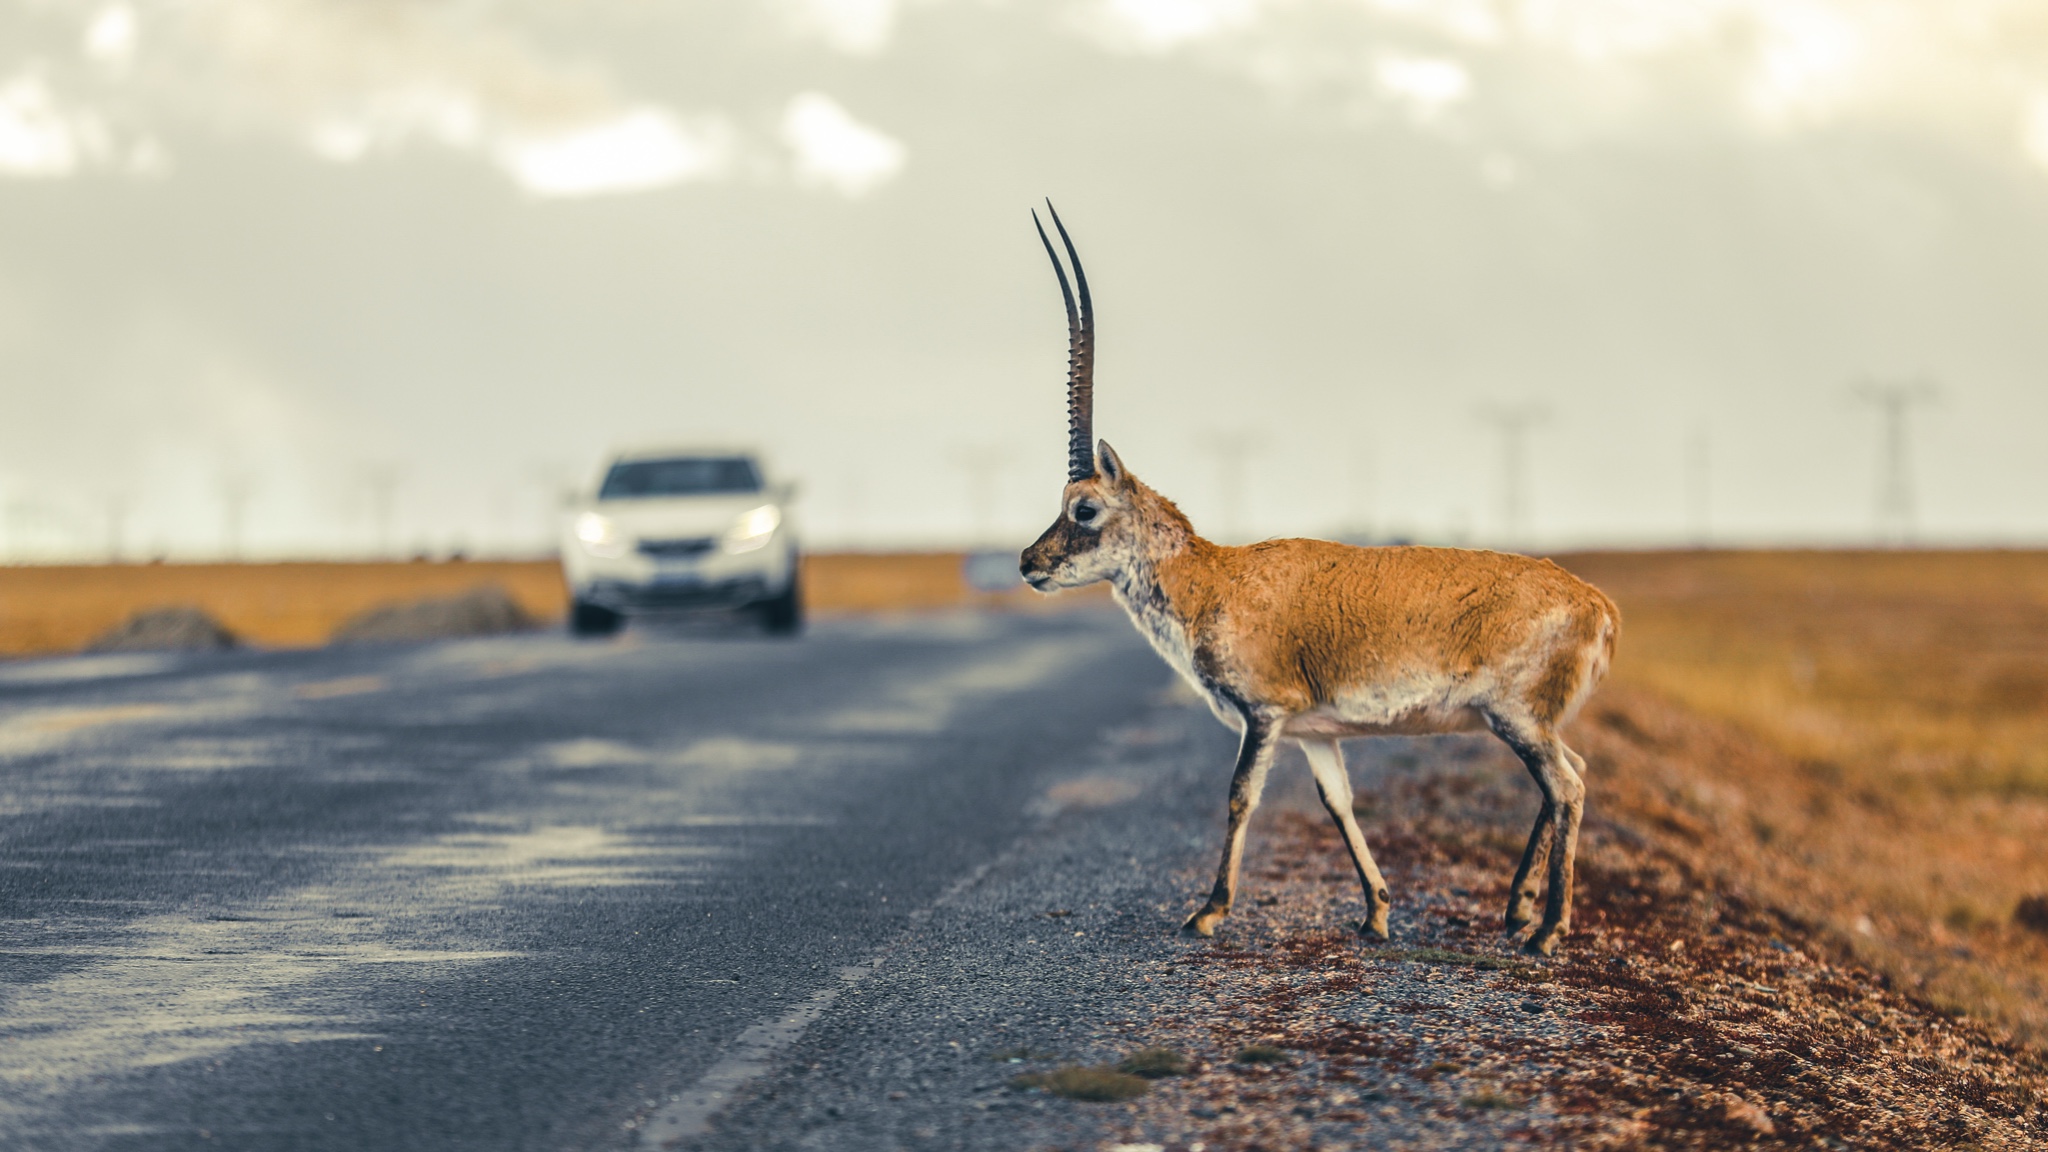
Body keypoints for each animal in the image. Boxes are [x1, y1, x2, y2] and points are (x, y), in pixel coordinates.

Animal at [1019, 203, 1613, 951]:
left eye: (1085, 508)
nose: (1028, 563)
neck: (1218, 580)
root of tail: (1596, 604)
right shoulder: (1317, 734)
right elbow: (1338, 803)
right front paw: (1377, 913)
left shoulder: (1264, 716)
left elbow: (1240, 795)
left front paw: (1209, 910)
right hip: (1520, 721)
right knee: (1572, 775)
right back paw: (1517, 909)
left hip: (1516, 717)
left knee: (1567, 786)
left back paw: (1544, 929)